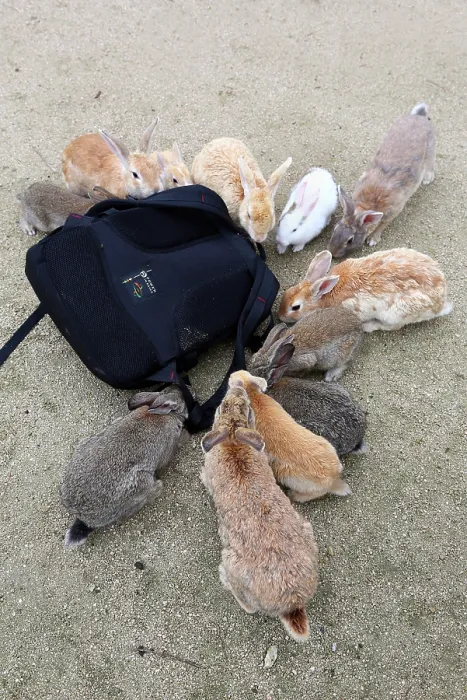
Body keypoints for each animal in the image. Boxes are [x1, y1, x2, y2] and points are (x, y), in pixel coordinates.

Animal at [61, 387, 188, 548]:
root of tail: (85, 518)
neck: (165, 415)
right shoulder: (168, 447)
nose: (188, 393)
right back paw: (158, 486)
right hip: (140, 483)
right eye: (182, 403)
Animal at [201, 383, 319, 642]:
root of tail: (292, 603)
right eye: (224, 405)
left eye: (247, 408)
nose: (235, 387)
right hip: (306, 529)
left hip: (232, 562)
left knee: (248, 607)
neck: (234, 441)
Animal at [229, 371, 351, 503]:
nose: (231, 374)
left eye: (230, 381)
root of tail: (332, 478)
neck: (251, 394)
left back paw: (293, 495)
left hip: (291, 479)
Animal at [279, 248, 452, 332]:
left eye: (295, 307)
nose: (280, 316)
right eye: (287, 291)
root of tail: (439, 304)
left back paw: (369, 327)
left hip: (396, 314)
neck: (324, 296)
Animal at [328, 103, 435, 258]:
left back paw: (427, 180)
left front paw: (373, 240)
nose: (333, 252)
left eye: (350, 240)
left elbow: (382, 226)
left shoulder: (392, 212)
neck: (367, 205)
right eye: (335, 228)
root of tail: (419, 117)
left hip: (430, 151)